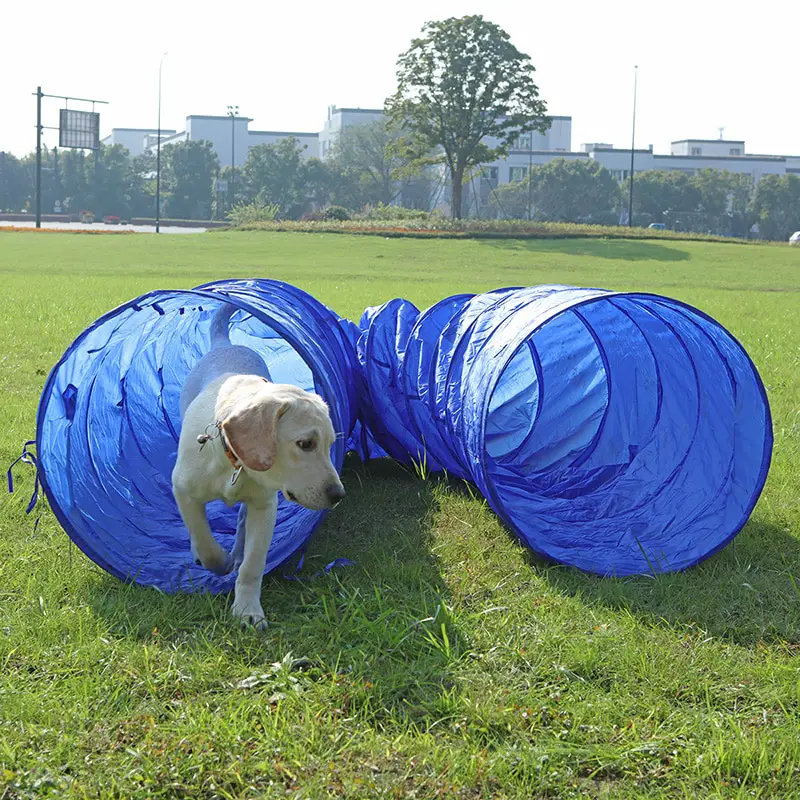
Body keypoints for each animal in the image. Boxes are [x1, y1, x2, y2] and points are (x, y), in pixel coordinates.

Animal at [173, 304, 342, 628]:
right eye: (305, 444)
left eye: (330, 445)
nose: (338, 495)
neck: (233, 460)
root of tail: (225, 343)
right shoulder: (182, 488)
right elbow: (202, 536)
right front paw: (218, 561)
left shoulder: (265, 507)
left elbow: (253, 564)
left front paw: (248, 610)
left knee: (241, 521)